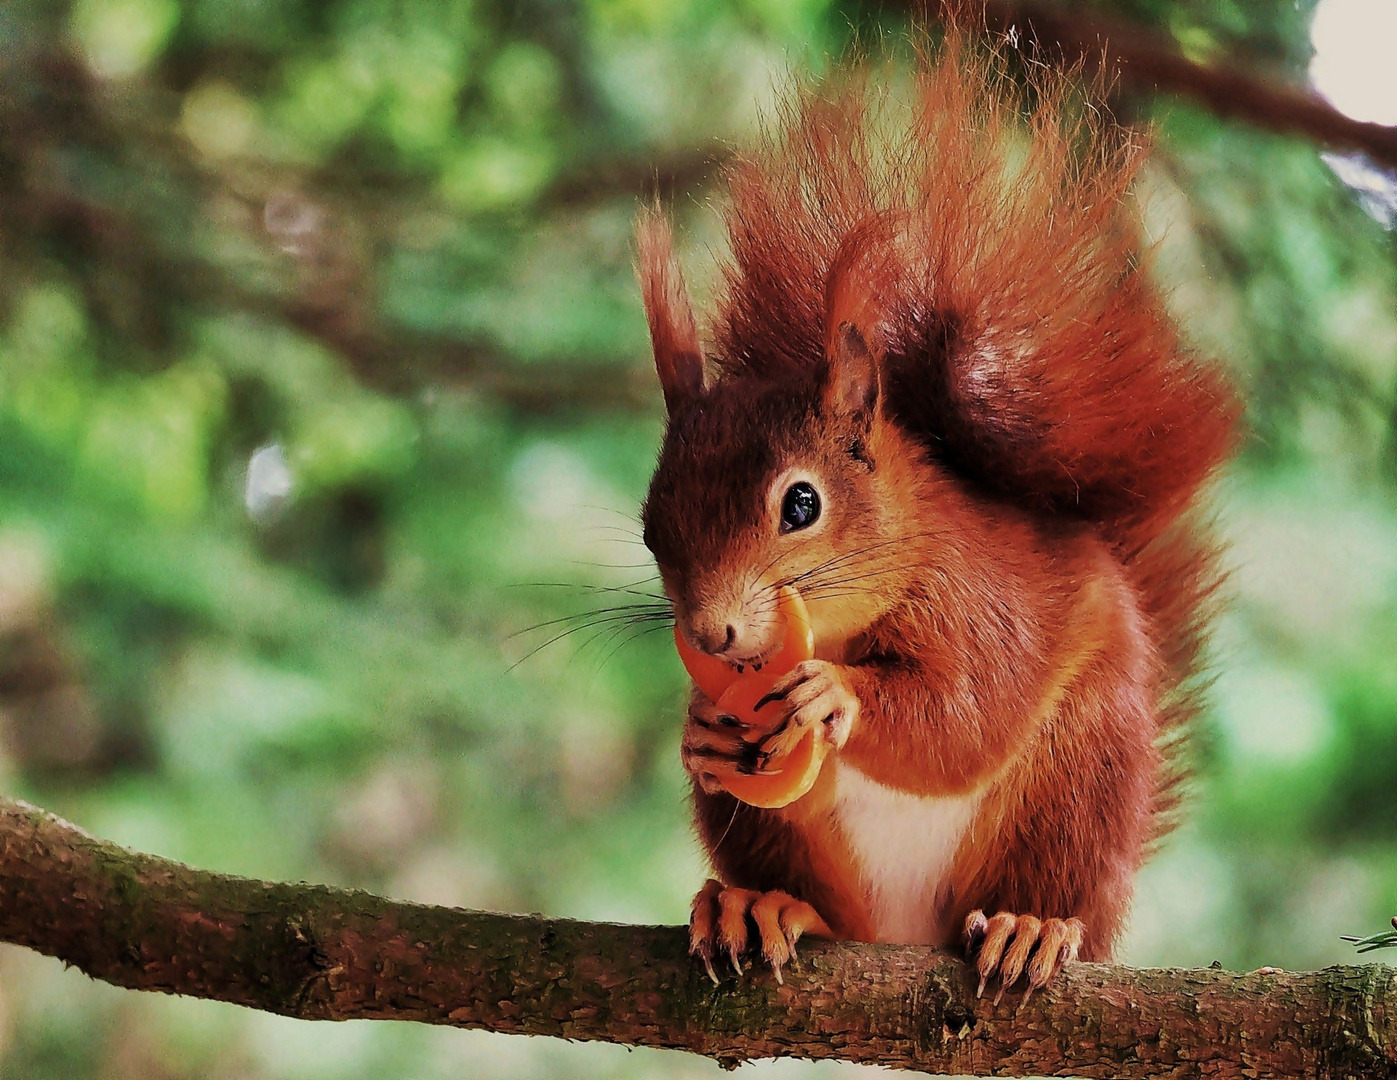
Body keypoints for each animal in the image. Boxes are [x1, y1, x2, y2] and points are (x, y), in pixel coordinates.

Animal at [634, 33, 1234, 994]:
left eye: (800, 503)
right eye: (650, 526)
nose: (713, 635)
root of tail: (904, 933)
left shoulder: (983, 601)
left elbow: (962, 718)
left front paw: (834, 696)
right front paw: (702, 731)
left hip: (1079, 781)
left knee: (1050, 883)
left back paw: (1031, 926)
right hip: (782, 847)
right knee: (821, 901)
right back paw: (759, 903)